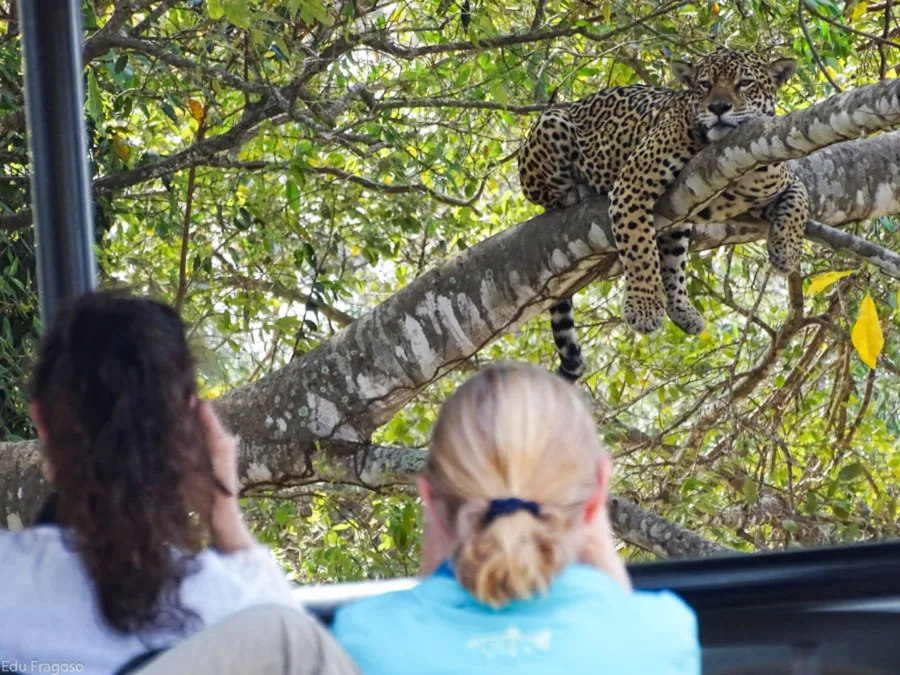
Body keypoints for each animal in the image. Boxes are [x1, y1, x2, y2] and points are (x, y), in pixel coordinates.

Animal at [518, 48, 810, 382]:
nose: (718, 107)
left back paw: (682, 309)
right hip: (552, 123)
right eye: (704, 84)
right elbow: (639, 249)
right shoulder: (632, 185)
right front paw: (644, 308)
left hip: (678, 222)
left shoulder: (772, 177)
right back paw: (577, 192)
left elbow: (800, 199)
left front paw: (787, 251)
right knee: (545, 193)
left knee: (673, 261)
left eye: (745, 83)